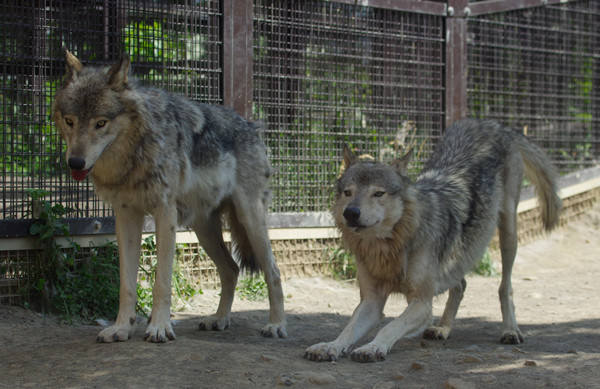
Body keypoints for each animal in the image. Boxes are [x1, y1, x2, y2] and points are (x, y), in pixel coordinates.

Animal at [52, 49, 288, 342]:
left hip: (249, 220)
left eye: (101, 123)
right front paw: (121, 328)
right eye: (70, 121)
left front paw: (159, 328)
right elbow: (126, 285)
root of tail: (252, 126)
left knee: (273, 272)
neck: (134, 156)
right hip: (204, 230)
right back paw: (219, 320)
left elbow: (161, 282)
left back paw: (276, 325)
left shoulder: (165, 213)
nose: (75, 162)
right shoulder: (126, 216)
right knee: (231, 270)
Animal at [304, 118, 564, 360]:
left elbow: (389, 327)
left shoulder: (422, 302)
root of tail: (491, 123)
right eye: (348, 192)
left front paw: (373, 347)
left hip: (508, 233)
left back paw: (510, 330)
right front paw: (330, 346)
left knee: (505, 287)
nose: (351, 213)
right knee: (461, 284)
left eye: (378, 193)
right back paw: (442, 329)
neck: (389, 246)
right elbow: (348, 329)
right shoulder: (372, 300)